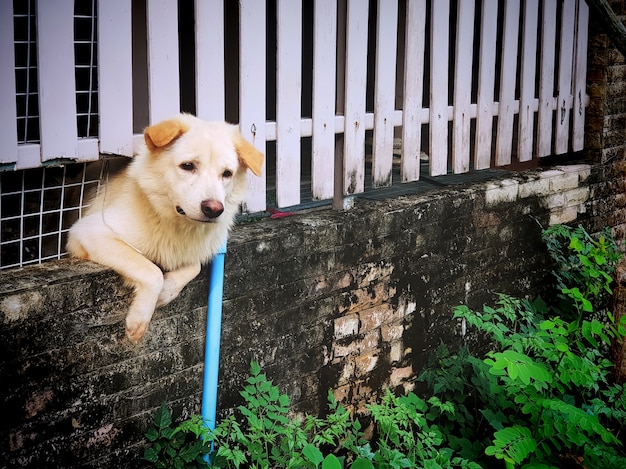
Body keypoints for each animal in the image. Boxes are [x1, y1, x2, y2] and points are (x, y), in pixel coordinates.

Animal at [67, 112, 262, 340]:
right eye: (188, 166)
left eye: (227, 173)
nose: (214, 209)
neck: (172, 221)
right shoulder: (89, 232)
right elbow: (151, 271)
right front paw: (139, 319)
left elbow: (193, 266)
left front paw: (167, 291)